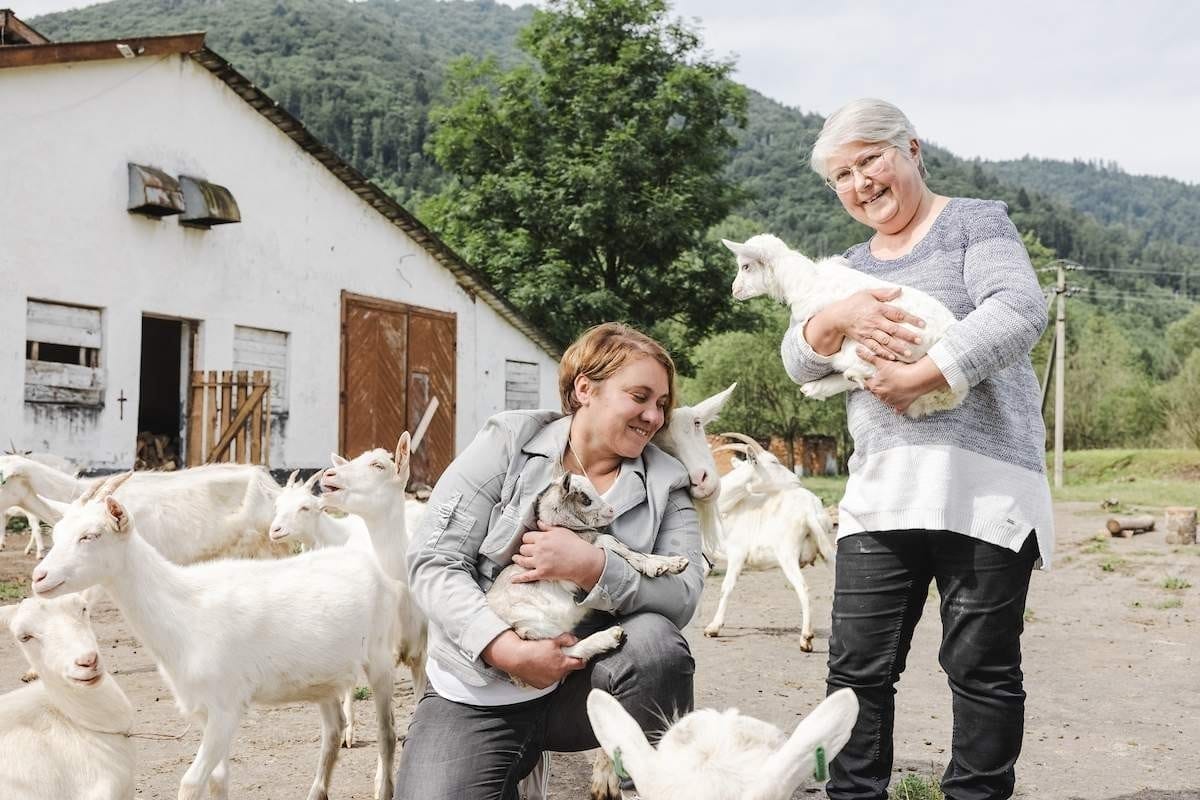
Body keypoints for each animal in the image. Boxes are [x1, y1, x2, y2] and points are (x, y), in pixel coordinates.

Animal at [700, 431, 835, 652]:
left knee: (803, 588)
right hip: (827, 550)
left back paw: (806, 638)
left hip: (787, 554)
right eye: (774, 461)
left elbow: (726, 587)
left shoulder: (737, 553)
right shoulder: (708, 554)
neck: (728, 508)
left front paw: (713, 627)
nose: (797, 479)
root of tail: (810, 510)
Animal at [720, 232, 964, 417]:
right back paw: (817, 387)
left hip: (877, 348)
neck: (805, 278)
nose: (733, 290)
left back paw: (835, 381)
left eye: (746, 267)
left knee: (871, 373)